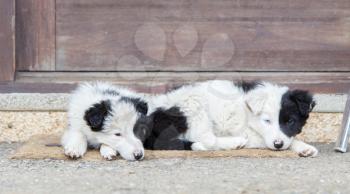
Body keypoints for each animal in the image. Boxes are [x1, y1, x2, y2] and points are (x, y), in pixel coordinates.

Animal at [139, 79, 318, 157]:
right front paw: (302, 146)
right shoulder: (247, 131)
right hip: (193, 108)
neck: (249, 111)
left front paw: (303, 148)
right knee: (206, 139)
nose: (278, 144)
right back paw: (234, 142)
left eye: (290, 122)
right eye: (267, 121)